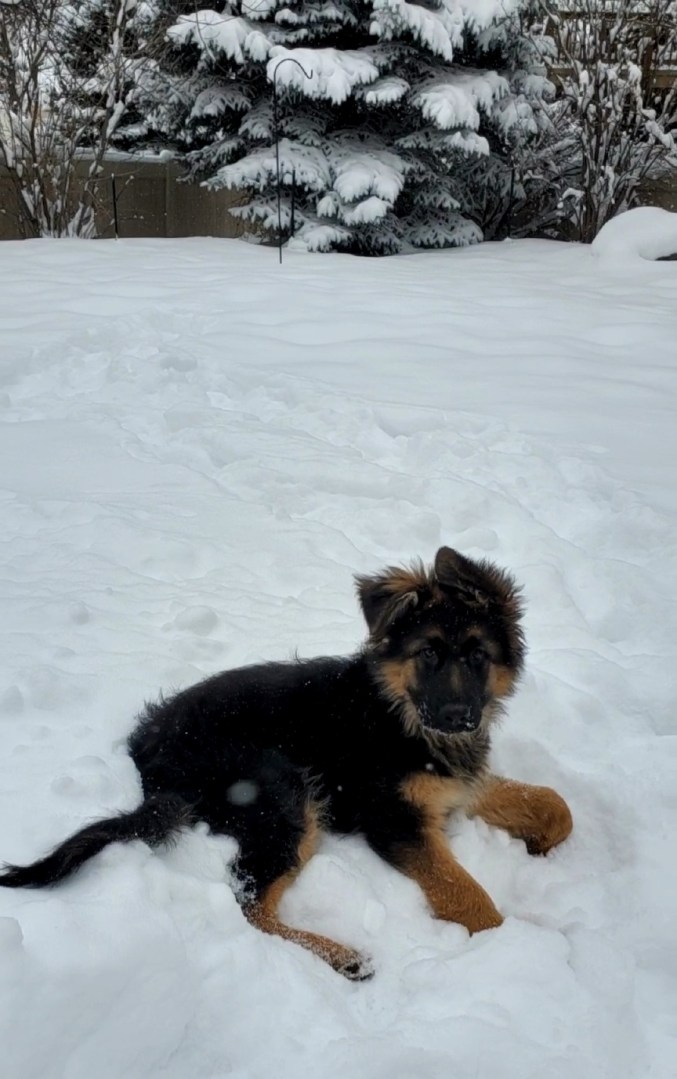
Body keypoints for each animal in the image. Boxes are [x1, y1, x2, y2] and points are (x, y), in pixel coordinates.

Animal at [0, 548, 570, 979]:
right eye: (427, 654)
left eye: (478, 657)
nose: (458, 717)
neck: (398, 712)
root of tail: (149, 760)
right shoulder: (393, 817)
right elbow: (465, 891)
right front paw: (519, 951)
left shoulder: (454, 786)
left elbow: (554, 805)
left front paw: (543, 843)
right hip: (282, 787)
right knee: (248, 903)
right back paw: (342, 956)